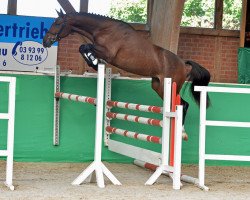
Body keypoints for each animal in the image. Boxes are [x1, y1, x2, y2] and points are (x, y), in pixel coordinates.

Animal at [43, 10, 211, 139]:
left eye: (57, 23)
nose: (46, 41)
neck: (104, 29)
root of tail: (184, 65)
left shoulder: (107, 52)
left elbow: (85, 46)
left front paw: (94, 62)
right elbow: (82, 47)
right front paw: (94, 62)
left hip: (169, 86)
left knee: (183, 104)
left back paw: (182, 132)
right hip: (158, 86)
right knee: (177, 104)